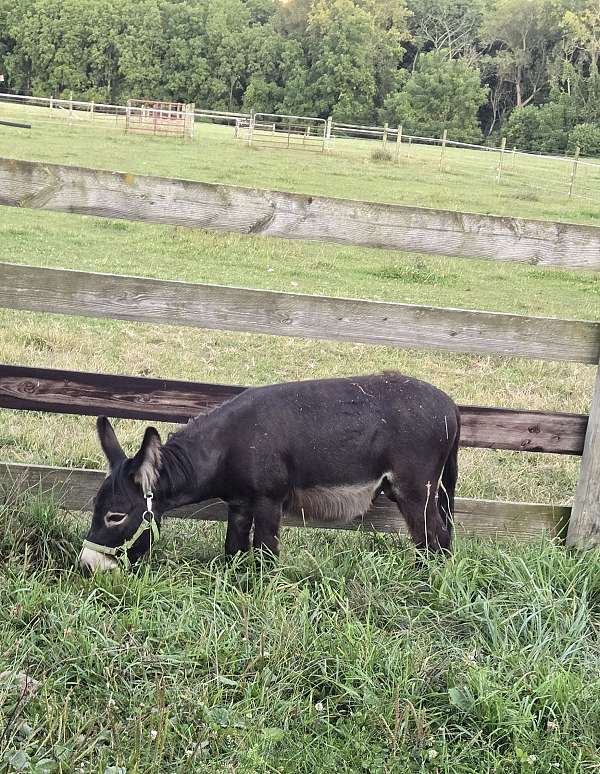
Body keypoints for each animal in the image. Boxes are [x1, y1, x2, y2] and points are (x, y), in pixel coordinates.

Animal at [79, 372, 460, 571]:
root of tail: (451, 405)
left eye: (115, 516)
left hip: (416, 490)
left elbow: (265, 555)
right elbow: (233, 550)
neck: (228, 446)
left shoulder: (268, 500)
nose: (86, 566)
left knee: (434, 540)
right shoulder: (239, 504)